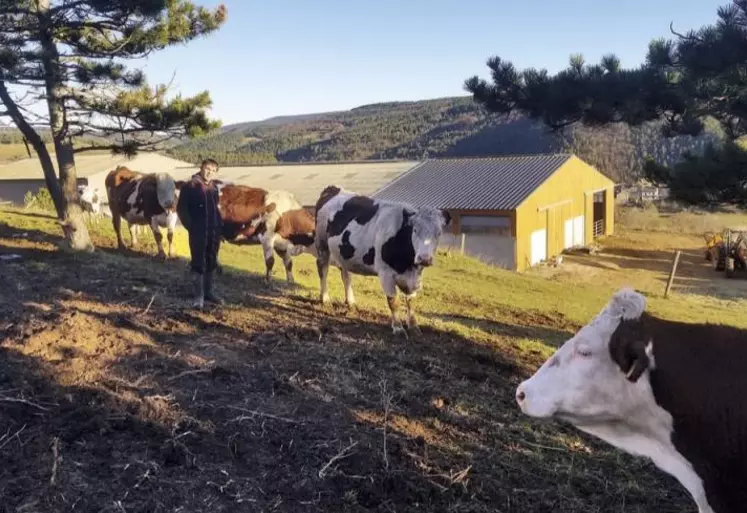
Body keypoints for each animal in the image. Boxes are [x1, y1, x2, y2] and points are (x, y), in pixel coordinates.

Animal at [314, 186, 450, 334]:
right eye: (415, 230)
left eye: (439, 233)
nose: (424, 258)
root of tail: (333, 189)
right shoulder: (385, 273)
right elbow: (393, 301)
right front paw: (398, 327)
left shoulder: (415, 277)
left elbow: (411, 301)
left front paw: (414, 326)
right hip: (322, 244)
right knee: (323, 270)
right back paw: (325, 298)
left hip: (343, 253)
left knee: (346, 276)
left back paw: (350, 302)